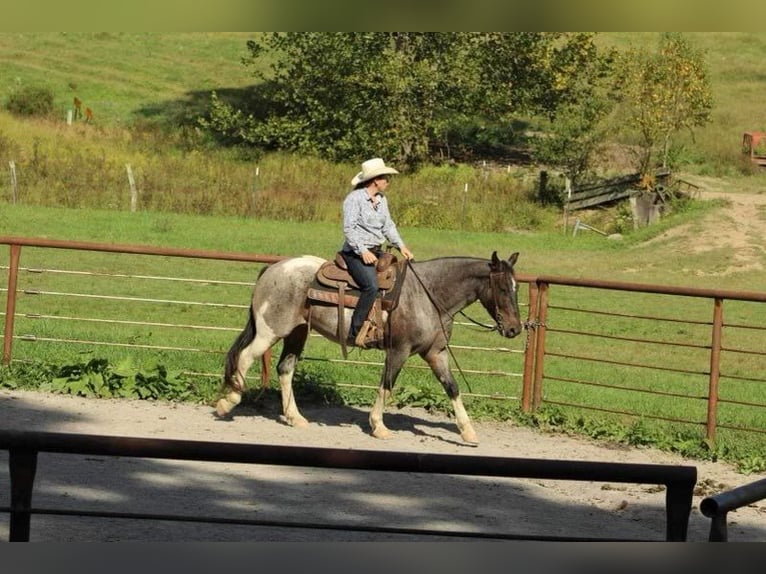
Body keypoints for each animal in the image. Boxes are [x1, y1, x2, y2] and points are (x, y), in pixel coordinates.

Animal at [219, 252, 524, 446]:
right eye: (503, 289)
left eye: (516, 288)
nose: (515, 329)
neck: (427, 295)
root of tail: (272, 269)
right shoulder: (399, 350)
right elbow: (387, 385)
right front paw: (379, 426)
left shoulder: (435, 353)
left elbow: (452, 387)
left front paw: (468, 432)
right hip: (270, 331)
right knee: (244, 357)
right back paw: (227, 402)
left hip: (297, 332)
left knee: (285, 369)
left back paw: (295, 418)